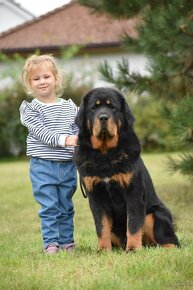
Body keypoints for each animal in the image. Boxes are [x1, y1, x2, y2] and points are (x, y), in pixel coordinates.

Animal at [74, 86, 180, 251]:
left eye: (112, 107)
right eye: (94, 108)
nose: (103, 117)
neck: (105, 154)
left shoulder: (133, 193)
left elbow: (133, 225)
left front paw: (133, 249)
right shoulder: (95, 196)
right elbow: (101, 227)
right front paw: (103, 250)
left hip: (154, 214)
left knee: (172, 241)